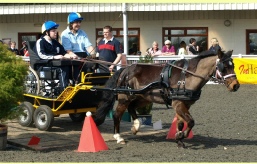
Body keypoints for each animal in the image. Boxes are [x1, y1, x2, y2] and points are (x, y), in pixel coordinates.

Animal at [93, 49, 239, 148]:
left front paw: (179, 139)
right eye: (224, 67)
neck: (186, 77)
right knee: (117, 114)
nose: (235, 85)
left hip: (143, 97)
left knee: (132, 107)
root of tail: (124, 70)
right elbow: (190, 121)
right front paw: (181, 135)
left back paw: (136, 127)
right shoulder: (178, 103)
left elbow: (181, 123)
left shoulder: (184, 104)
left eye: (233, 65)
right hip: (125, 98)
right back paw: (118, 137)